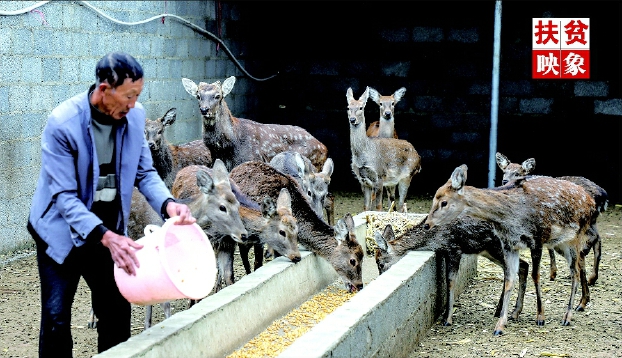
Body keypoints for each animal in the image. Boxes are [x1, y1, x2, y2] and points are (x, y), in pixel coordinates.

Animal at [424, 165, 600, 336]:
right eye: (433, 199)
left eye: (444, 202)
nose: (427, 224)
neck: (511, 218)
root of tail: (592, 203)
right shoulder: (509, 244)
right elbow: (510, 279)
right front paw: (500, 325)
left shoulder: (537, 238)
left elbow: (536, 276)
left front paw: (540, 317)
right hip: (559, 243)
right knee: (578, 265)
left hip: (576, 237)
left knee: (576, 270)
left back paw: (568, 315)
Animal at [498, 152, 608, 286]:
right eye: (504, 171)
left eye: (517, 173)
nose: (504, 181)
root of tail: (603, 196)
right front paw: (553, 273)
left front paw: (552, 273)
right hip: (592, 220)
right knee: (598, 239)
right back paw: (592, 277)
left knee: (594, 237)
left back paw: (583, 257)